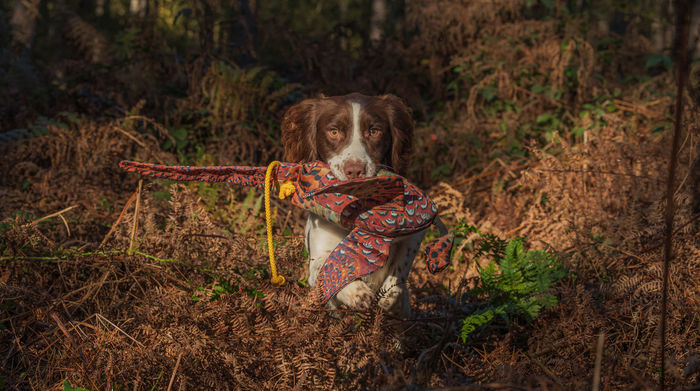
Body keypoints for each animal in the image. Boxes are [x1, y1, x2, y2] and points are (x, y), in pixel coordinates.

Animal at [280, 92, 424, 318]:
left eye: (374, 131)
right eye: (334, 131)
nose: (355, 170)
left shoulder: (413, 234)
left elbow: (401, 268)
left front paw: (393, 297)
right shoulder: (316, 260)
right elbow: (327, 268)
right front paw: (358, 292)